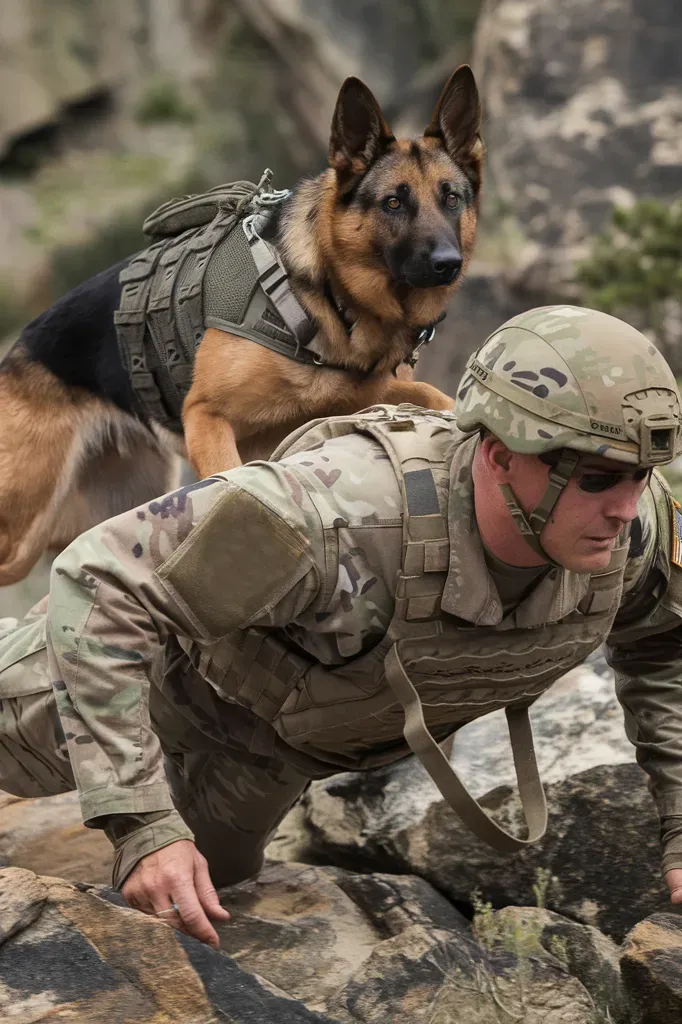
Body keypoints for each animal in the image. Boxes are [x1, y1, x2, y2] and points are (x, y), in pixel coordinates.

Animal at [0, 68, 481, 585]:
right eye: (393, 202)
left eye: (452, 198)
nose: (448, 264)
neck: (328, 295)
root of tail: (17, 350)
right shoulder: (207, 418)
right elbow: (230, 483)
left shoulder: (356, 399)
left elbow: (427, 393)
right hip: (22, 525)